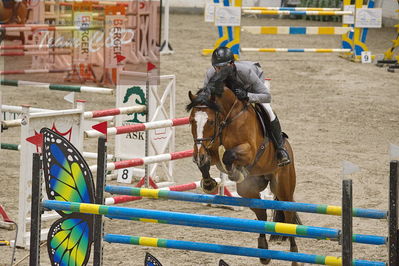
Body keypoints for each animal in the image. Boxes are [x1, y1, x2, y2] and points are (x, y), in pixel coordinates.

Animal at [187, 84, 300, 264]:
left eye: (210, 121)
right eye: (192, 120)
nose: (198, 155)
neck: (228, 118)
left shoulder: (249, 150)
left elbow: (228, 155)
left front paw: (234, 172)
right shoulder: (211, 150)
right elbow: (210, 160)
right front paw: (209, 182)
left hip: (284, 189)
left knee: (289, 219)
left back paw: (294, 256)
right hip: (248, 190)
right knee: (262, 215)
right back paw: (263, 251)